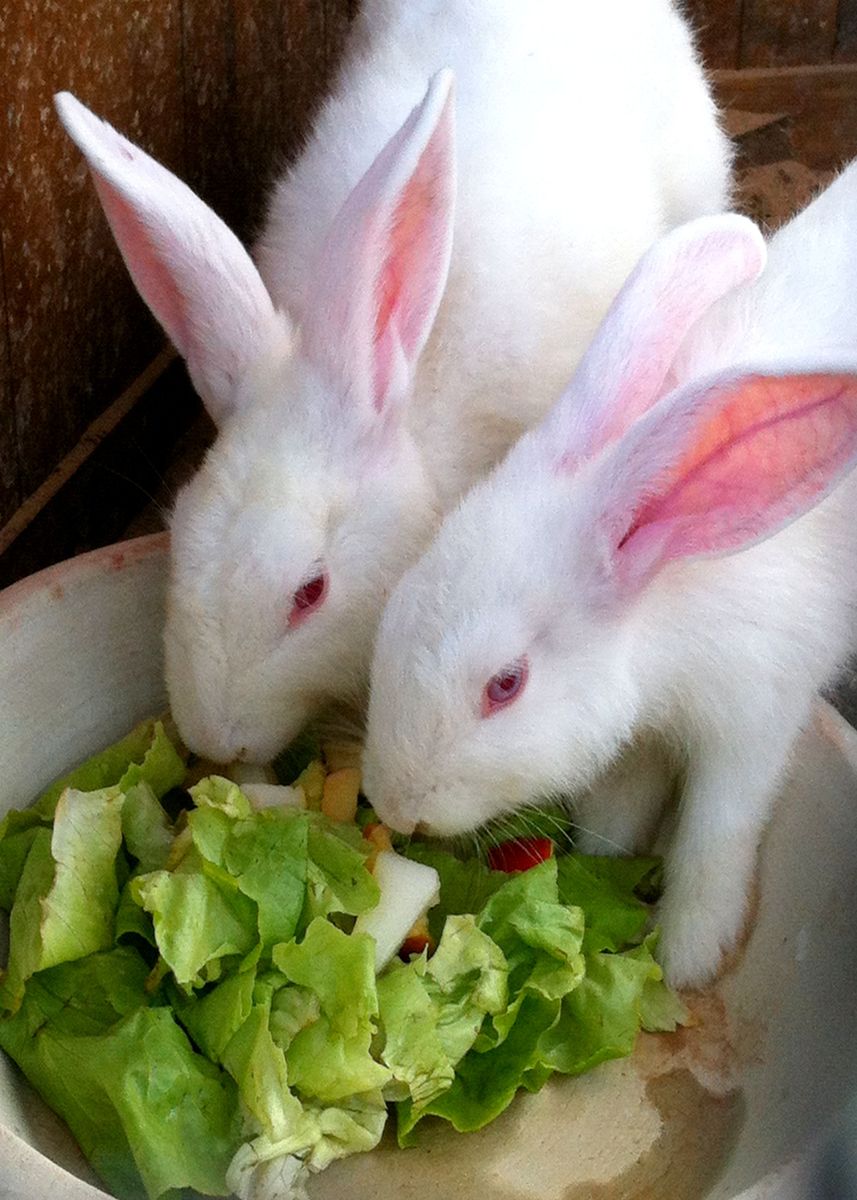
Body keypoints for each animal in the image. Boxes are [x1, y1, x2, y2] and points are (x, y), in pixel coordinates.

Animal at [362, 163, 857, 989]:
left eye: (505, 685)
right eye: (394, 605)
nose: (397, 807)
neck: (665, 579)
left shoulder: (754, 720)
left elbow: (714, 837)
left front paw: (687, 957)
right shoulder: (639, 742)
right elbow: (617, 813)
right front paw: (599, 877)